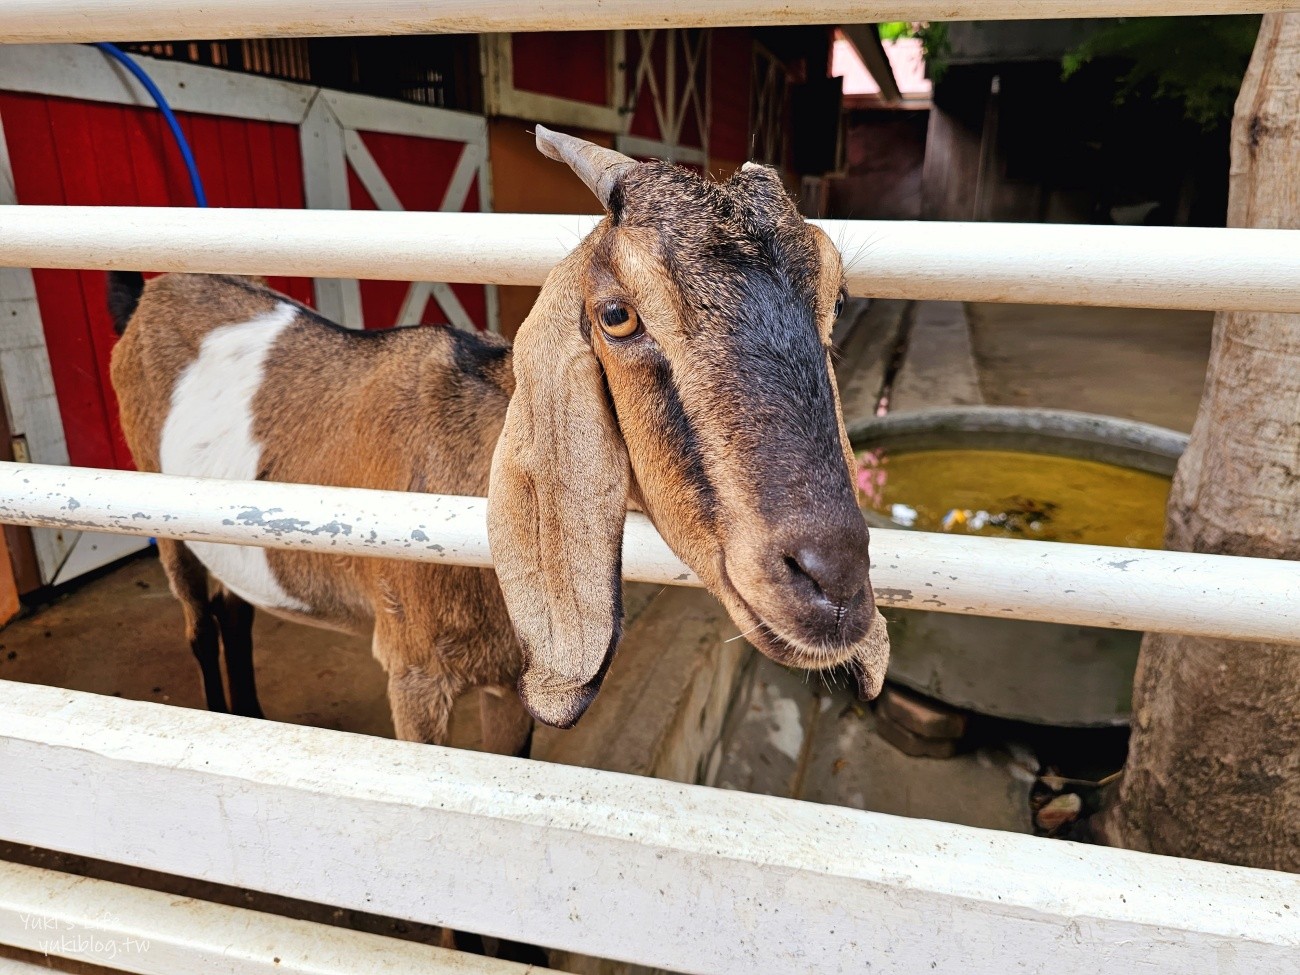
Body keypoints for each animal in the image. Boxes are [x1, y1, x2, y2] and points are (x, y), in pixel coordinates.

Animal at [106, 126, 889, 754]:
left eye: (836, 298)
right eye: (616, 314)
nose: (833, 582)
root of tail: (142, 297)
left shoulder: (509, 683)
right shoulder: (412, 671)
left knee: (236, 610)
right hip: (161, 516)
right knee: (201, 624)